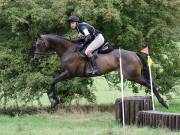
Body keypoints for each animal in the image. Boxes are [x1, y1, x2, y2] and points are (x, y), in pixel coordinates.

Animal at [33, 33, 169, 108]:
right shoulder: (69, 73)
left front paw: (53, 100)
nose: (36, 58)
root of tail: (134, 54)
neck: (68, 50)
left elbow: (53, 81)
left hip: (133, 76)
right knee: (150, 83)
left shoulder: (70, 73)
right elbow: (53, 81)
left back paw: (164, 103)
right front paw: (53, 99)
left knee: (150, 84)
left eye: (39, 44)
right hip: (134, 75)